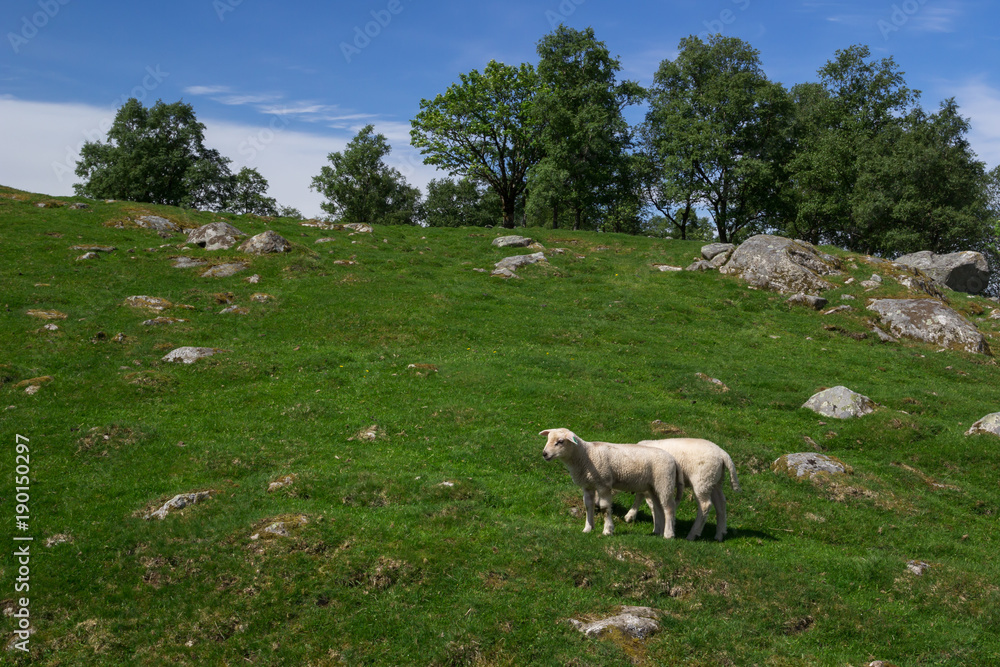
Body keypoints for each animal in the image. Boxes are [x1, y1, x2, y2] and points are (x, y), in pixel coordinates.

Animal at [540, 428, 681, 538]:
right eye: (548, 439)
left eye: (560, 441)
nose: (544, 454)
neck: (585, 456)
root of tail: (673, 459)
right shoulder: (587, 486)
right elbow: (588, 506)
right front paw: (588, 529)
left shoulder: (603, 484)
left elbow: (604, 508)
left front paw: (607, 530)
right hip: (653, 487)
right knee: (659, 507)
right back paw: (658, 532)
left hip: (664, 482)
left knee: (669, 507)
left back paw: (668, 534)